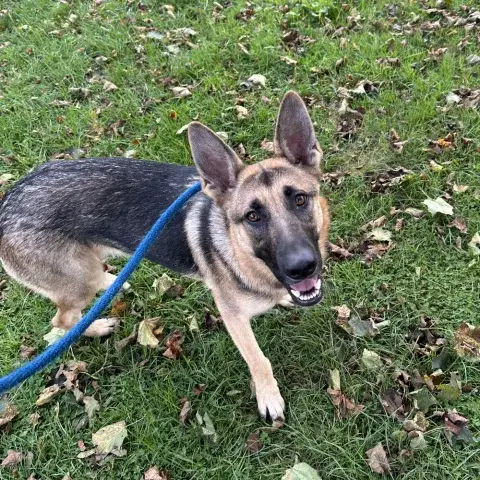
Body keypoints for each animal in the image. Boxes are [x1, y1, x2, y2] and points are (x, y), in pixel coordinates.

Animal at [0, 91, 329, 421]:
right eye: (252, 216)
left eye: (300, 199)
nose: (302, 268)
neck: (245, 257)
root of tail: (6, 203)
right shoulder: (233, 317)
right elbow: (258, 359)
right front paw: (268, 396)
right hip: (80, 281)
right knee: (63, 320)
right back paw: (95, 325)